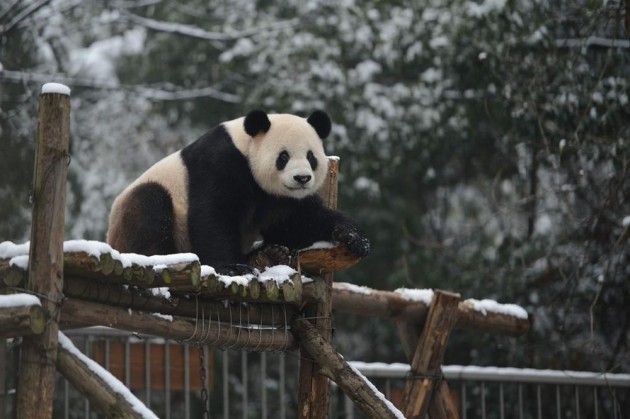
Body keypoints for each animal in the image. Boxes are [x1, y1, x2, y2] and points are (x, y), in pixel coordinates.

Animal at [108, 111, 370, 276]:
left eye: (311, 157)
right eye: (283, 157)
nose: (302, 178)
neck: (247, 146)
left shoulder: (281, 197)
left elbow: (300, 222)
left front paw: (353, 237)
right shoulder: (220, 162)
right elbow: (214, 214)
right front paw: (232, 267)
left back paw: (268, 251)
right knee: (149, 205)